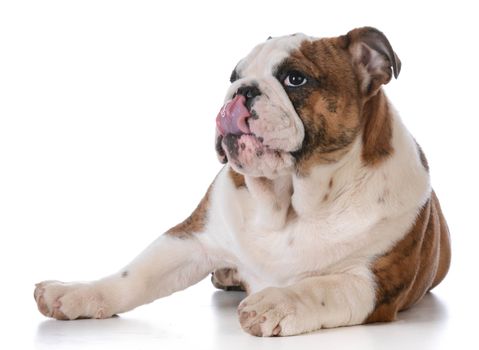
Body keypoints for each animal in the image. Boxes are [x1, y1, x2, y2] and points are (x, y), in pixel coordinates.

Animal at [33, 26, 450, 336]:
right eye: (234, 76)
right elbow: (134, 275)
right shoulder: (191, 239)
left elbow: (322, 287)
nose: (242, 89)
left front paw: (279, 301)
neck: (292, 201)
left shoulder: (372, 283)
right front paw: (75, 293)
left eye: (295, 79)